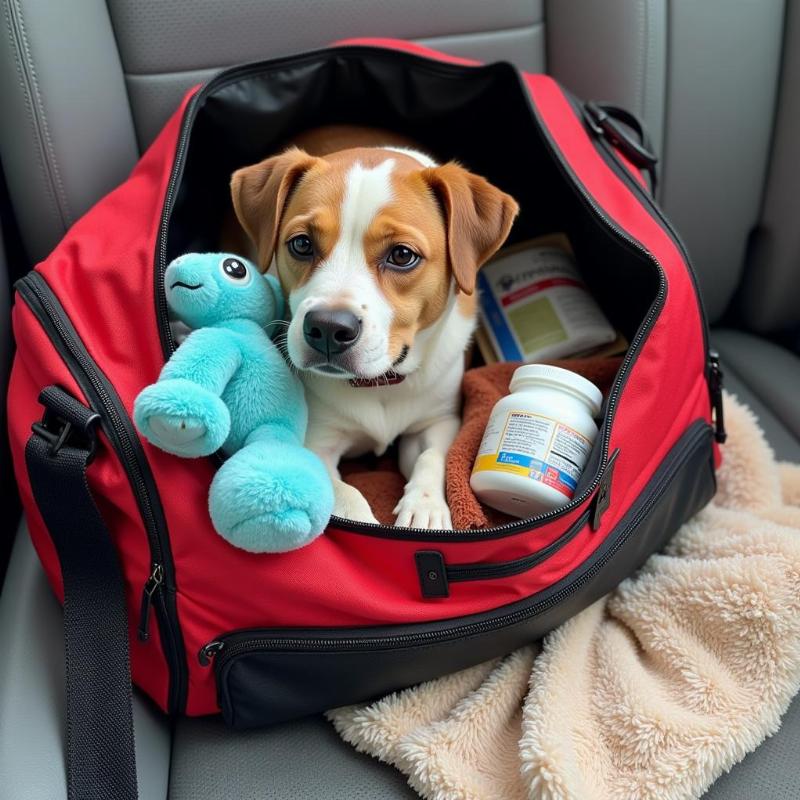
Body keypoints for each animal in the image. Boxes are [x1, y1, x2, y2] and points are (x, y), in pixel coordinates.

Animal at [231, 126, 520, 532]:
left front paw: (427, 509)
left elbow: (433, 457)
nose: (327, 328)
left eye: (402, 255)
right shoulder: (315, 442)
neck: (380, 383)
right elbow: (346, 496)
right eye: (301, 244)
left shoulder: (440, 419)